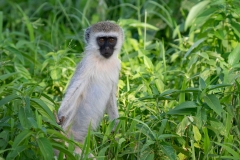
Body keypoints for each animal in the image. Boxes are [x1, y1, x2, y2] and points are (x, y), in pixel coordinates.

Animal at [57, 21, 123, 150]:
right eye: (101, 40)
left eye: (111, 40)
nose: (107, 48)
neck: (103, 61)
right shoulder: (88, 63)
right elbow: (77, 88)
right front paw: (60, 113)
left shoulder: (117, 65)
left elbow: (111, 96)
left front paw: (116, 130)